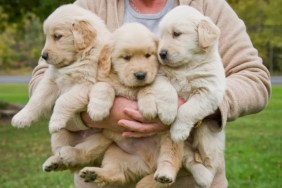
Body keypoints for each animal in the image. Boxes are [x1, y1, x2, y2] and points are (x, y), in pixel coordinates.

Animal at [11, 4, 112, 172]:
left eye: (57, 36)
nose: (44, 56)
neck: (77, 58)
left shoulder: (86, 84)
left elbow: (64, 100)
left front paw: (55, 121)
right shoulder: (51, 81)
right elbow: (37, 99)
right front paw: (21, 117)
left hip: (102, 138)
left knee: (84, 154)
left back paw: (70, 154)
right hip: (59, 136)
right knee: (61, 153)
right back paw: (54, 162)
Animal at [78, 23, 183, 188]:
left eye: (148, 55)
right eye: (126, 58)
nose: (140, 75)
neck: (127, 85)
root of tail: (149, 165)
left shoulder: (153, 78)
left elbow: (146, 88)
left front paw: (148, 106)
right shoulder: (102, 78)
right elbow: (104, 87)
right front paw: (97, 110)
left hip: (170, 138)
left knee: (170, 159)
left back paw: (164, 175)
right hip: (114, 151)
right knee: (116, 174)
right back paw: (93, 174)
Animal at [159, 5, 227, 188]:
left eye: (177, 34)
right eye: (161, 36)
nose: (161, 54)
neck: (186, 66)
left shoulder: (208, 91)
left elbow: (188, 110)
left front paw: (178, 129)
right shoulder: (160, 75)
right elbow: (166, 90)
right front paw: (167, 112)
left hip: (207, 137)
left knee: (210, 163)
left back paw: (206, 178)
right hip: (175, 145)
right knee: (188, 159)